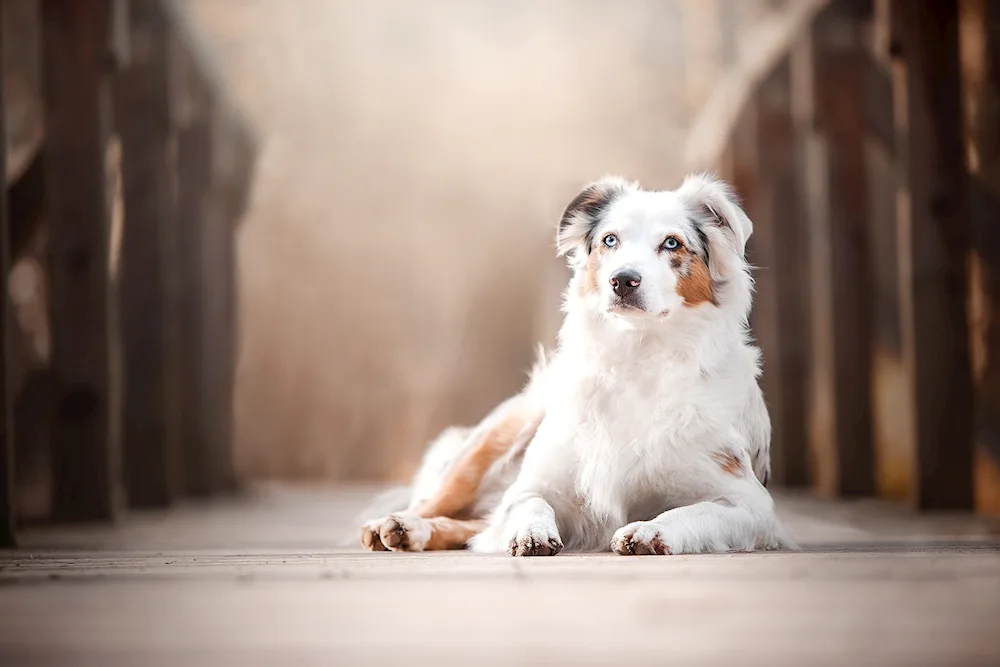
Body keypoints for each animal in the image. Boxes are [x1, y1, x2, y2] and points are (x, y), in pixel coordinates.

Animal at [358, 175, 788, 556]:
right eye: (610, 240)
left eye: (672, 243)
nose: (623, 280)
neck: (637, 355)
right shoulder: (533, 484)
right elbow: (530, 502)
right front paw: (531, 532)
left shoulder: (750, 504)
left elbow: (693, 512)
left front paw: (650, 530)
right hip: (486, 445)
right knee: (435, 502)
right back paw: (399, 524)